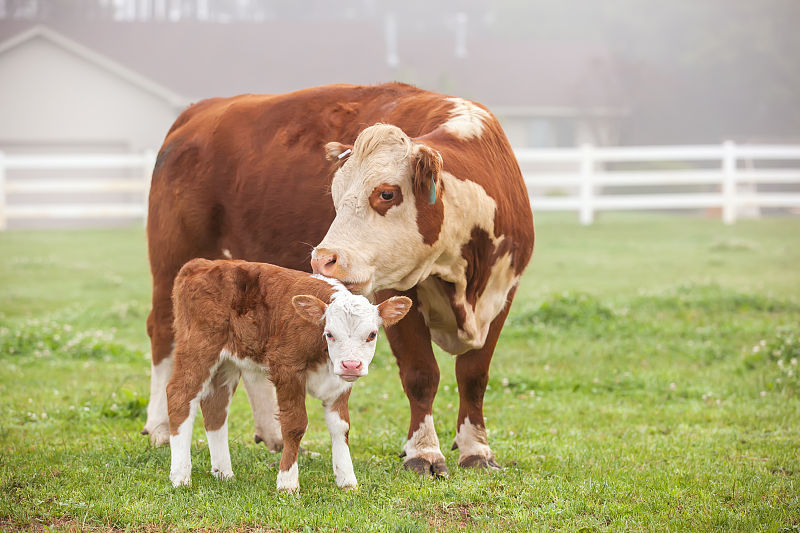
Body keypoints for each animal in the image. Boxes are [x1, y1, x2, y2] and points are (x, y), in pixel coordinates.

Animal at [165, 258, 410, 490]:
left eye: (372, 334)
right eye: (329, 333)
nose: (351, 365)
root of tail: (201, 263)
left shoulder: (340, 383)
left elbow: (341, 427)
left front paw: (347, 480)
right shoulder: (287, 369)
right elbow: (295, 425)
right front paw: (287, 482)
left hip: (227, 363)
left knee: (215, 406)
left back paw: (224, 473)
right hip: (199, 347)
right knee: (179, 395)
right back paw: (180, 476)